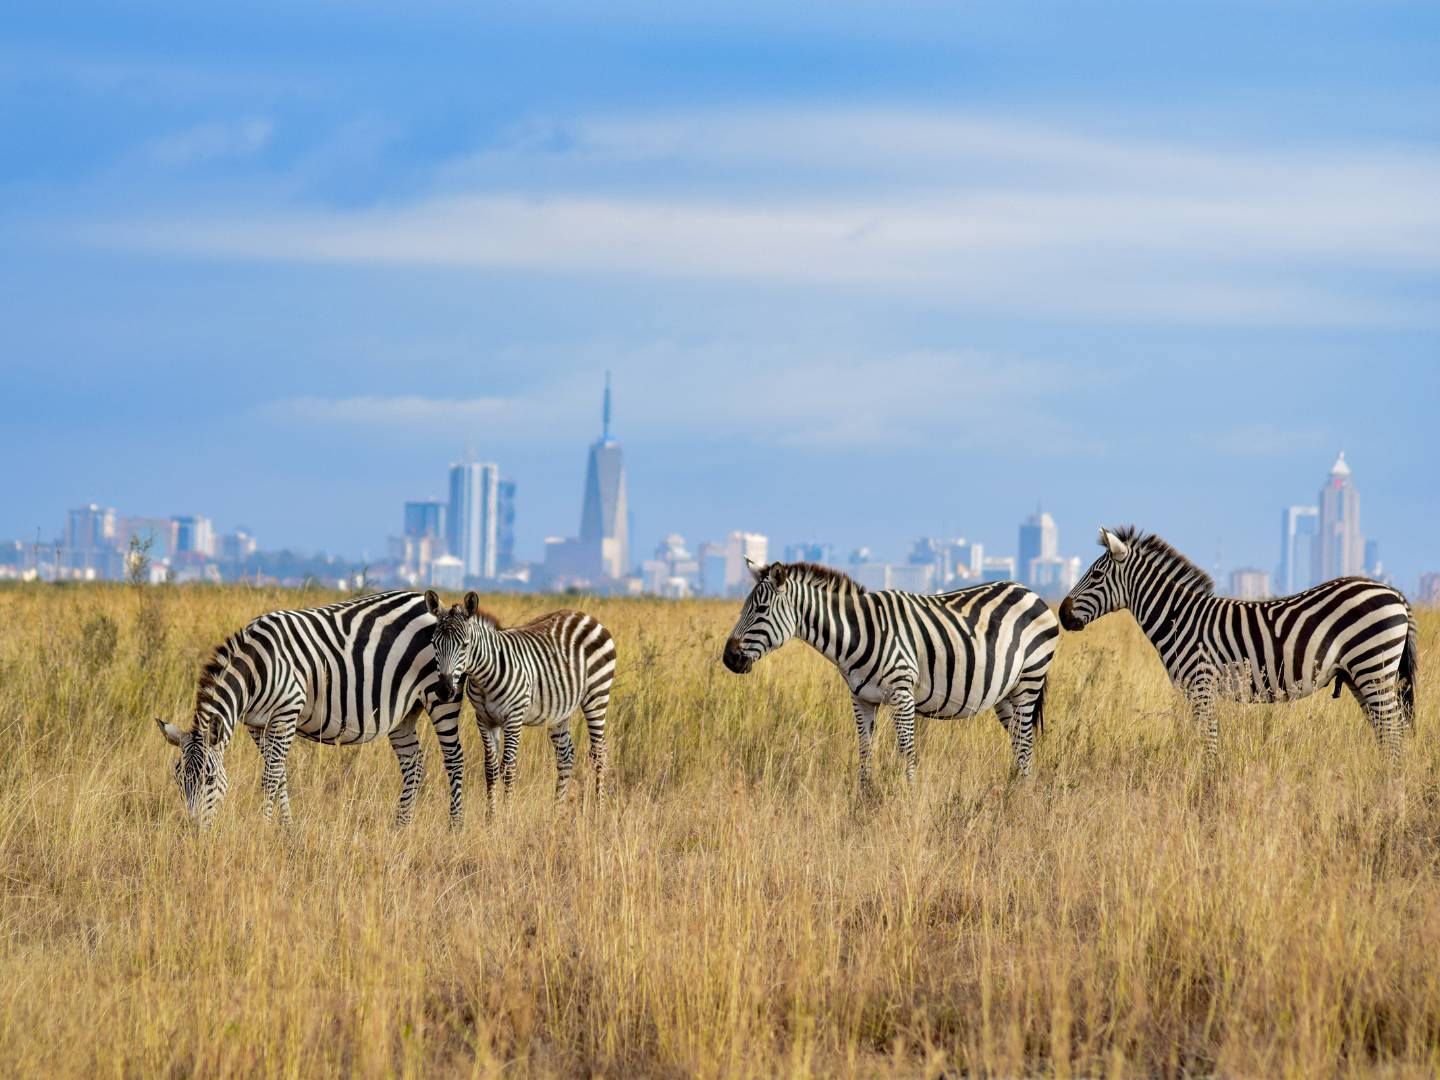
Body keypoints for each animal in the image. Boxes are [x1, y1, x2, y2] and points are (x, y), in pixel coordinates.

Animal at [154, 593, 463, 829]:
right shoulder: (256, 725)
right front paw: (287, 828)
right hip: (404, 712)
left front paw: (264, 828)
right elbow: (280, 775)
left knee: (454, 759)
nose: (193, 829)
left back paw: (455, 827)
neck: (256, 668)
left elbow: (270, 777)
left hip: (441, 695)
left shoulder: (286, 712)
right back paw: (400, 827)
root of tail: (426, 601)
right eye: (178, 779)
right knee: (414, 764)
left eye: (209, 778)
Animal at [420, 593, 613, 812]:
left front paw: (507, 815)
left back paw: (598, 809)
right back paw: (557, 811)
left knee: (599, 753)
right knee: (566, 756)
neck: (484, 676)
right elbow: (491, 768)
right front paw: (491, 816)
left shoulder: (514, 718)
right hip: (559, 710)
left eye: (465, 645)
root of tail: (585, 615)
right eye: (434, 643)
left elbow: (508, 768)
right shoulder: (484, 719)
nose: (444, 691)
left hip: (597, 695)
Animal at [720, 567, 1059, 789]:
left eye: (761, 609)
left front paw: (908, 802)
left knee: (1026, 742)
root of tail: (1029, 591)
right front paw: (863, 801)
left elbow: (907, 750)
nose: (728, 658)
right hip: (1006, 694)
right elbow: (864, 750)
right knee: (1019, 742)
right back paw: (1016, 793)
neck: (857, 634)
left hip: (1030, 680)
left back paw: (1021, 799)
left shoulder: (902, 693)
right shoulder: (861, 698)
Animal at [1059, 529, 1416, 766]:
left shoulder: (1201, 686)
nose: (1062, 614)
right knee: (1386, 730)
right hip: (1360, 676)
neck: (1179, 619)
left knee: (1393, 730)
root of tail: (1395, 592)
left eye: (1096, 575)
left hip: (1372, 666)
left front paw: (1207, 786)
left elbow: (1208, 740)